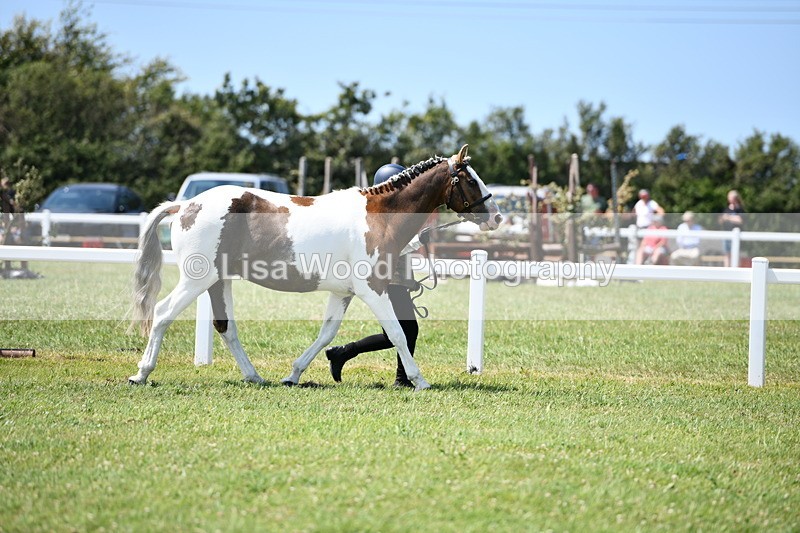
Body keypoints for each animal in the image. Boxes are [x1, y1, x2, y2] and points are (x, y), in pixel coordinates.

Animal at [130, 144, 502, 391]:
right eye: (470, 180)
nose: (497, 217)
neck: (378, 217)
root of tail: (184, 205)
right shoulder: (373, 289)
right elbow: (397, 332)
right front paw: (420, 380)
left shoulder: (343, 293)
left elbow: (327, 334)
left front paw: (294, 374)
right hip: (197, 279)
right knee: (162, 314)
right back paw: (141, 373)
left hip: (218, 281)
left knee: (226, 327)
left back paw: (254, 376)